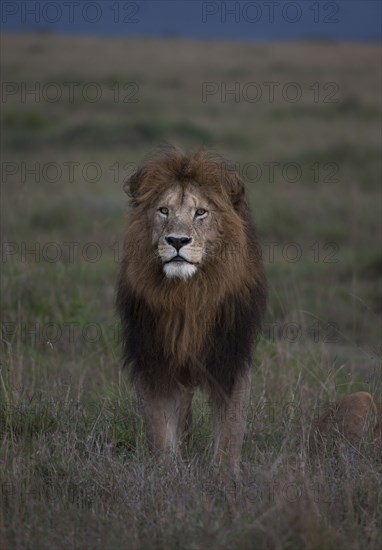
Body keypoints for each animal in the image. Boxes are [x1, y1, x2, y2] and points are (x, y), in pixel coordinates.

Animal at [116, 147, 266, 478]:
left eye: (200, 213)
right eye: (163, 211)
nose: (177, 240)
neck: (188, 294)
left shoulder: (230, 358)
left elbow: (230, 432)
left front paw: (225, 479)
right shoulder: (154, 360)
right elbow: (160, 433)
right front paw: (165, 476)